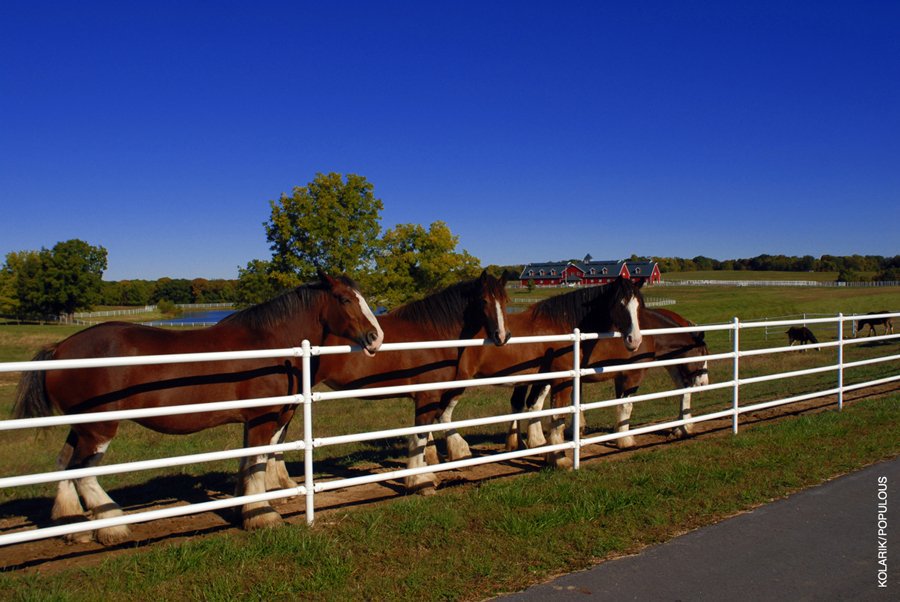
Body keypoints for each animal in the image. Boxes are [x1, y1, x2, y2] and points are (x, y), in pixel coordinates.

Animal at [12, 274, 382, 540]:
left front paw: (245, 509)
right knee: (83, 471)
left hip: (81, 427)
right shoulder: (262, 420)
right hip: (99, 428)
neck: (269, 344)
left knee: (63, 463)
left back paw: (73, 525)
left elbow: (249, 463)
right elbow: (257, 464)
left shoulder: (256, 421)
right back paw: (112, 525)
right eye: (346, 299)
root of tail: (60, 348)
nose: (376, 337)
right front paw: (262, 516)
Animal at [316, 270, 512, 490]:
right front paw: (419, 480)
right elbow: (421, 433)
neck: (432, 332)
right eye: (484, 300)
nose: (502, 335)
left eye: (505, 300)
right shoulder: (428, 395)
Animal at [442, 276, 644, 468]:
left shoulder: (543, 379)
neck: (560, 325)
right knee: (442, 416)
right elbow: (557, 417)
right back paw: (455, 453)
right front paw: (559, 458)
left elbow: (535, 408)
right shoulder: (561, 381)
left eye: (639, 305)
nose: (635, 340)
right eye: (621, 304)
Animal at [506, 308, 712, 448]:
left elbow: (621, 405)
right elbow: (625, 405)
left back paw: (683, 427)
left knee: (683, 389)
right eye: (703, 353)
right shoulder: (630, 375)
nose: (704, 383)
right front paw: (624, 438)